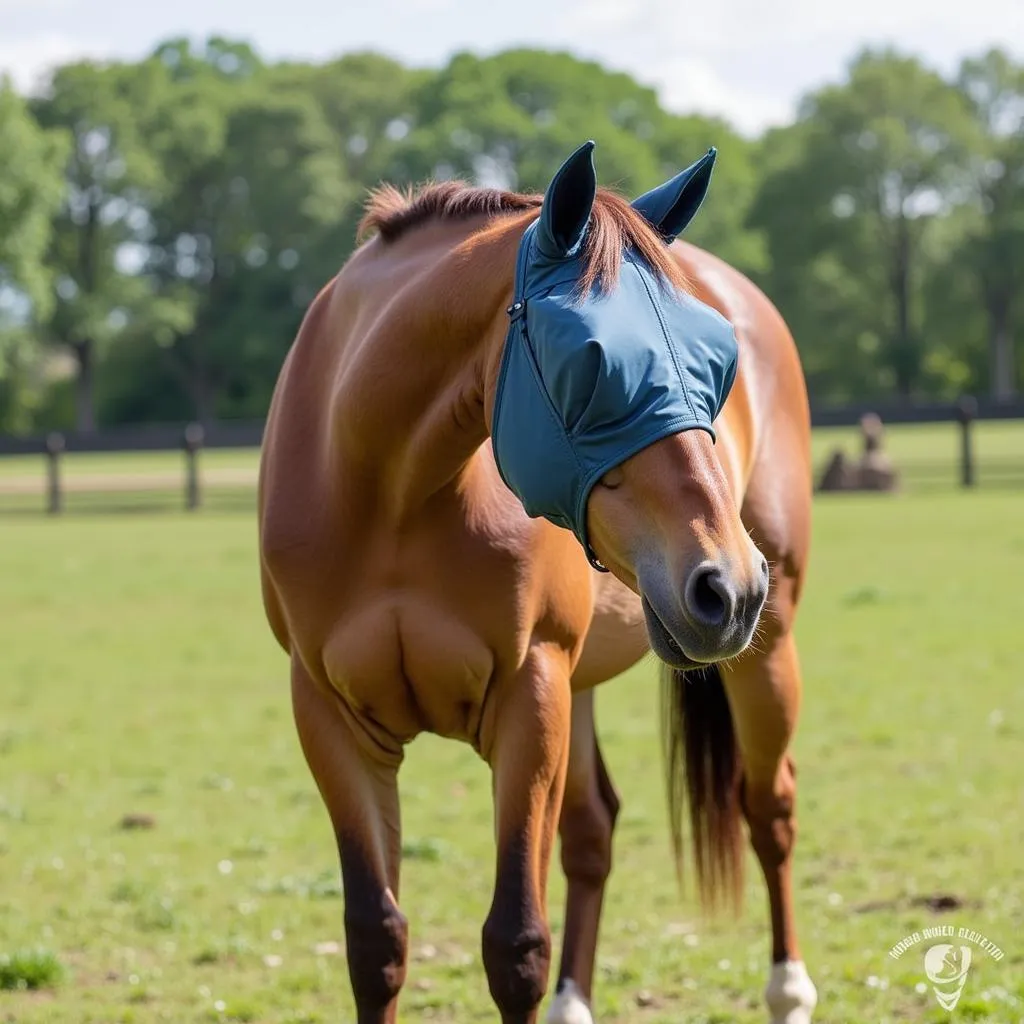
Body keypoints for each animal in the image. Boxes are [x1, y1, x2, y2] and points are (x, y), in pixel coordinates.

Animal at [260, 138, 819, 1024]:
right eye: (589, 361)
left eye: (718, 360)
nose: (729, 586)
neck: (390, 490)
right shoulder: (329, 717)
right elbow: (375, 941)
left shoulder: (532, 695)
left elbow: (515, 943)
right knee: (593, 833)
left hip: (764, 652)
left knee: (771, 809)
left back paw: (788, 990)